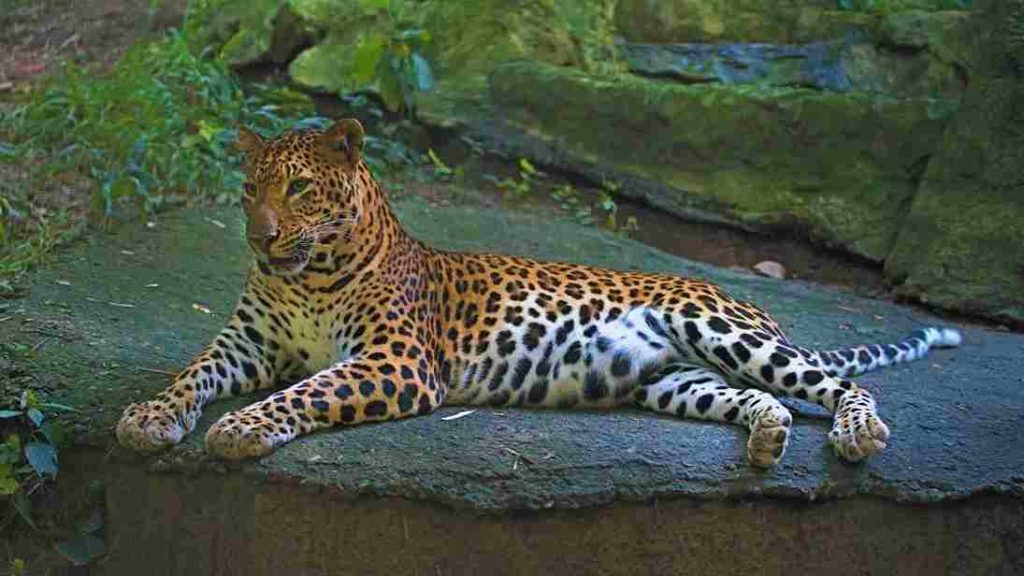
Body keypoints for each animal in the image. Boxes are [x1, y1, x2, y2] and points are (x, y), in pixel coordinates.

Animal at [116, 119, 963, 467]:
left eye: (296, 188)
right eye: (249, 189)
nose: (260, 238)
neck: (307, 274)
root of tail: (747, 300)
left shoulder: (395, 362)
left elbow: (306, 391)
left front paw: (241, 427)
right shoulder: (245, 343)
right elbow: (192, 374)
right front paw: (152, 417)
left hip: (723, 330)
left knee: (841, 383)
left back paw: (858, 434)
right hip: (676, 380)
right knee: (763, 399)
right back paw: (767, 441)